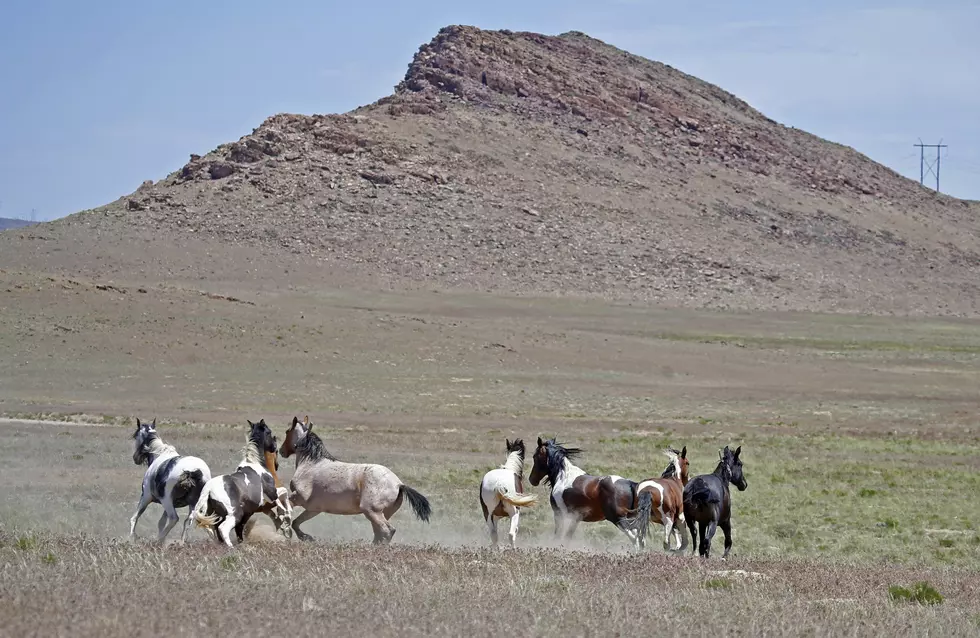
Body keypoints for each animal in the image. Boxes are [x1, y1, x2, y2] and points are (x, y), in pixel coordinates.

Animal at [189, 420, 290, 552]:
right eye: (269, 432)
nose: (273, 447)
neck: (254, 463)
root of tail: (209, 488)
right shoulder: (271, 493)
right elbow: (284, 493)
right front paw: (286, 514)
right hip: (235, 513)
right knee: (223, 528)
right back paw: (231, 548)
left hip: (216, 515)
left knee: (214, 529)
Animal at [276, 418, 428, 548]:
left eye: (287, 431)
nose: (281, 451)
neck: (311, 464)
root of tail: (398, 484)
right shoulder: (314, 509)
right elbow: (296, 522)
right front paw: (307, 538)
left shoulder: (299, 497)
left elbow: (287, 513)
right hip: (381, 513)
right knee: (380, 533)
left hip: (372, 511)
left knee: (387, 530)